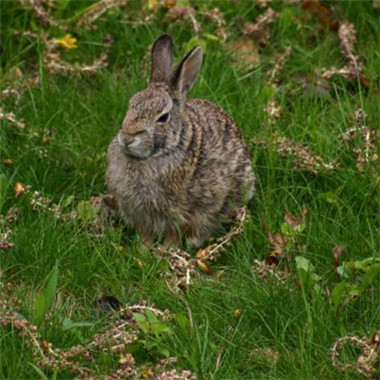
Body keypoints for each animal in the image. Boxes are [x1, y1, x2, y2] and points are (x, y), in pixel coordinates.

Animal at [106, 33, 255, 246]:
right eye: (131, 104)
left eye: (163, 117)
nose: (127, 138)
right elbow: (145, 233)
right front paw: (143, 249)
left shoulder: (180, 212)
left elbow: (174, 233)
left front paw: (166, 251)